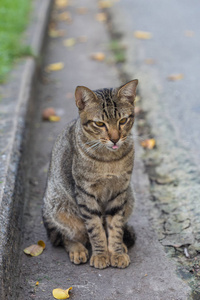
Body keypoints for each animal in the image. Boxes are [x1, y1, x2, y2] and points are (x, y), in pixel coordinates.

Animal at [43, 79, 138, 270]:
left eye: (123, 121)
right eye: (99, 124)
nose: (115, 139)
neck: (109, 161)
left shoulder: (120, 190)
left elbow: (115, 226)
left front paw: (116, 252)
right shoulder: (85, 193)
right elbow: (95, 229)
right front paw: (101, 255)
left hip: (129, 197)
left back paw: (122, 245)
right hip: (59, 207)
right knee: (67, 235)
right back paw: (77, 249)